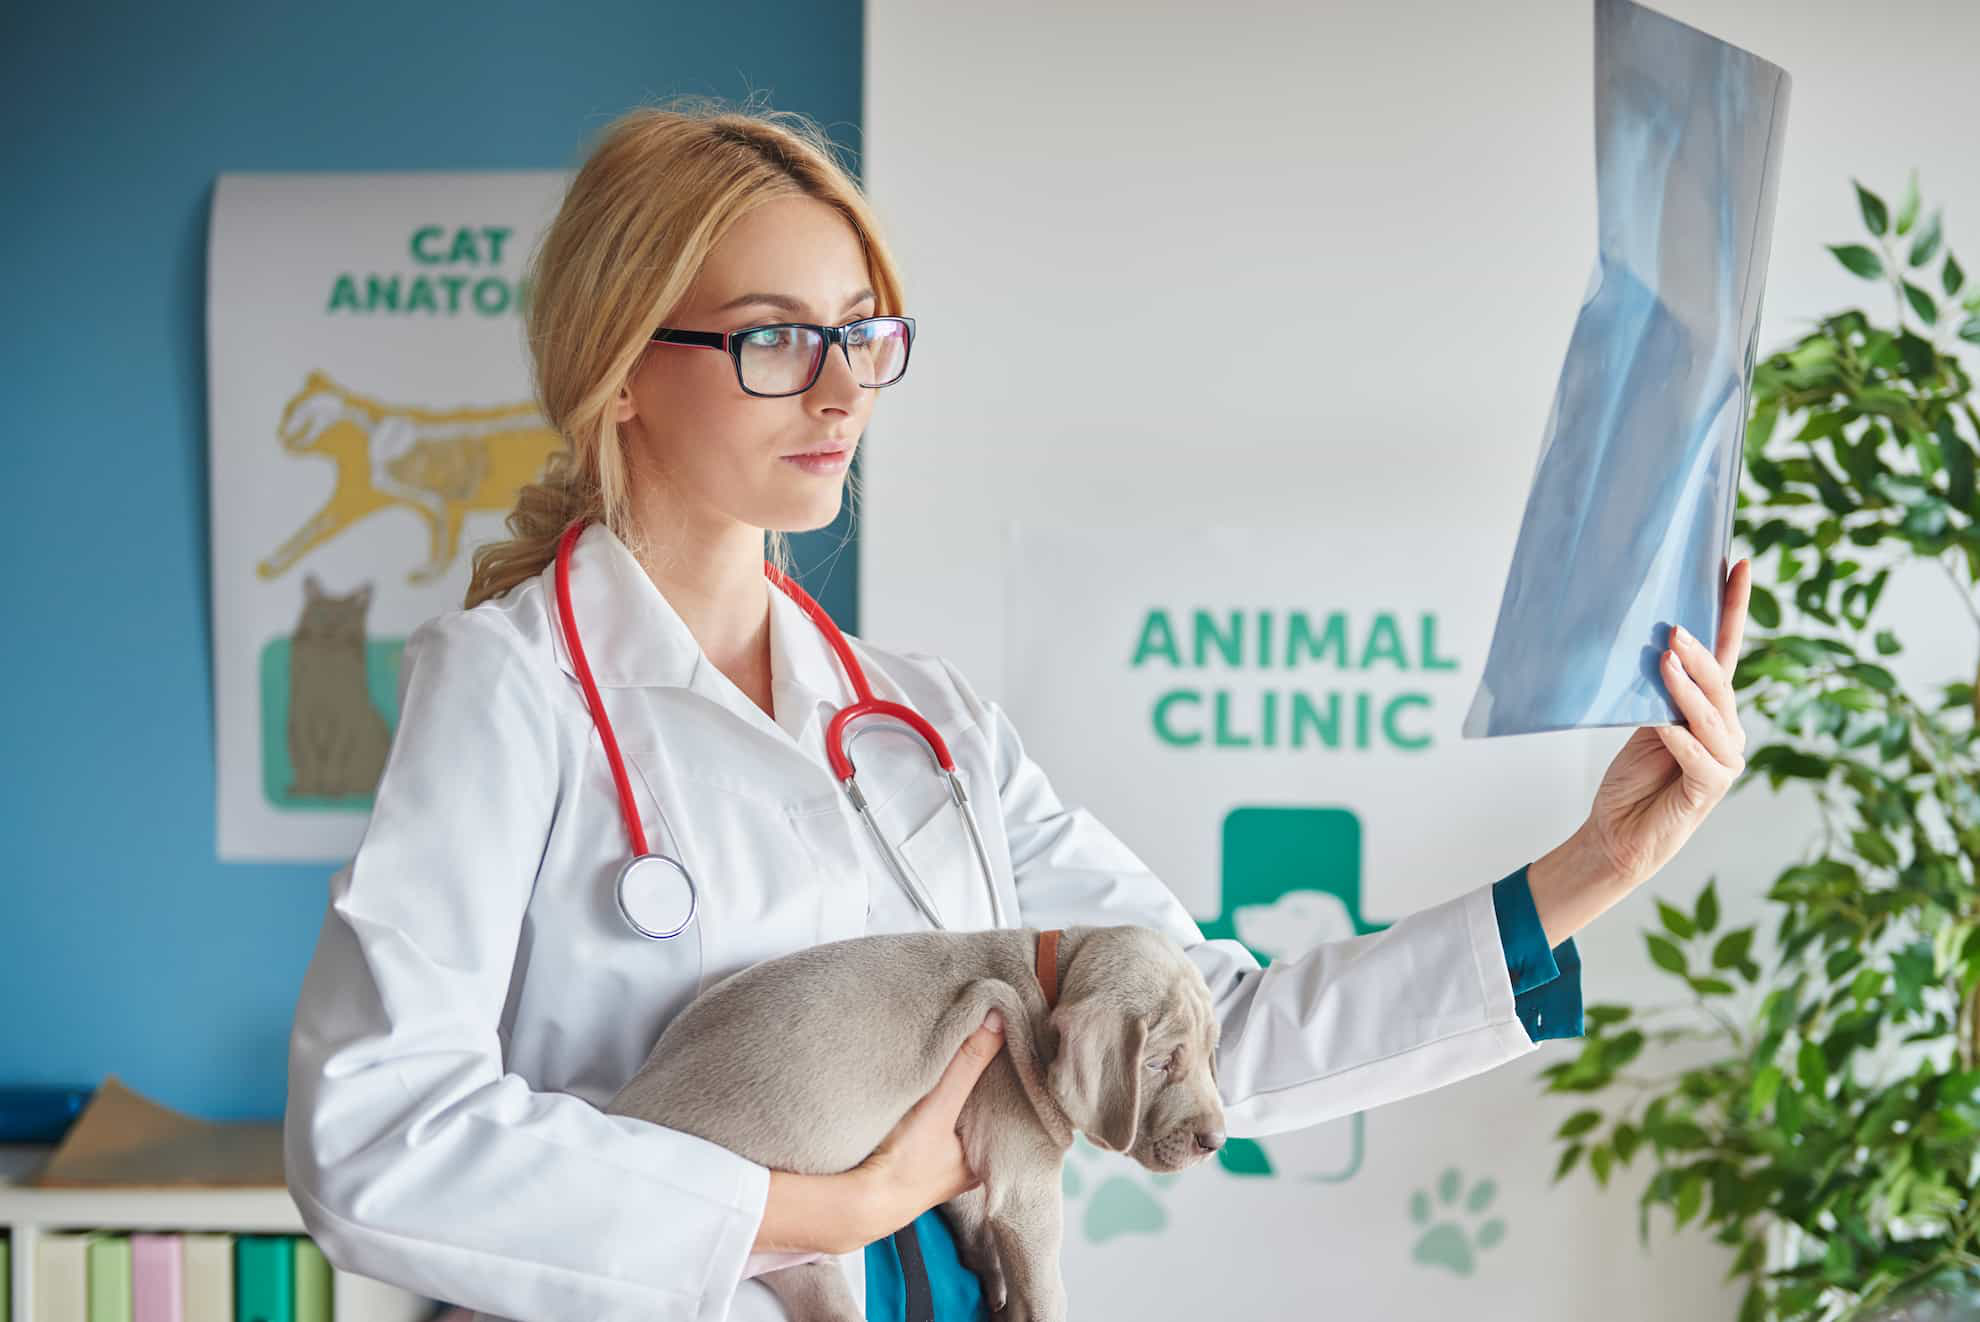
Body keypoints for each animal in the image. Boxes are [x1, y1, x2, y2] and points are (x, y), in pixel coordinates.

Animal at [605, 918, 1219, 1322]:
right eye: (1160, 1063)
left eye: (1210, 1054)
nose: (1215, 1141)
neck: (1048, 980)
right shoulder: (1023, 1173)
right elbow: (1046, 1285)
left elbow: (974, 1217)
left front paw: (993, 1281)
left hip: (806, 1265)